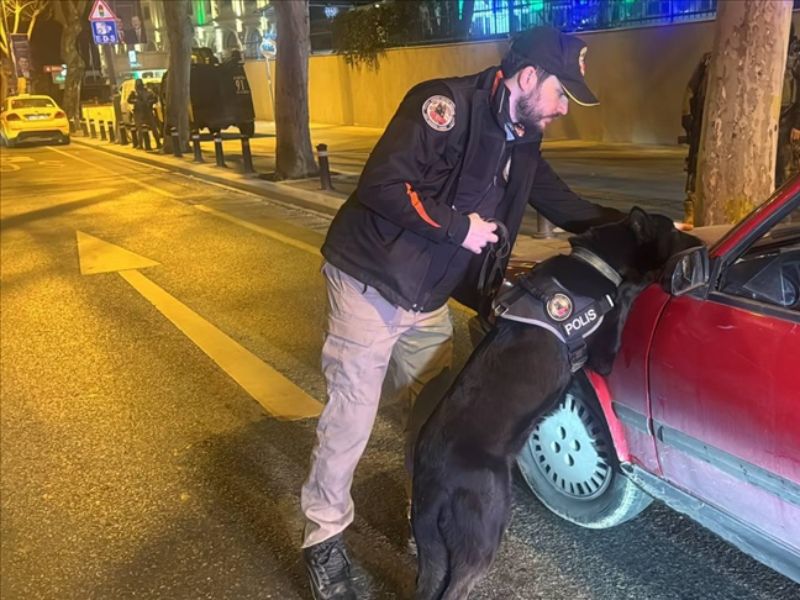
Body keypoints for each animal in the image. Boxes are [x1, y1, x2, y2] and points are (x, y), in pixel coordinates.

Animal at [412, 209, 700, 596]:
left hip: (431, 546)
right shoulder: (602, 357)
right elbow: (625, 292)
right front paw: (641, 281)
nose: (700, 244)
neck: (596, 260)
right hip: (486, 524)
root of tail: (431, 481)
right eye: (673, 230)